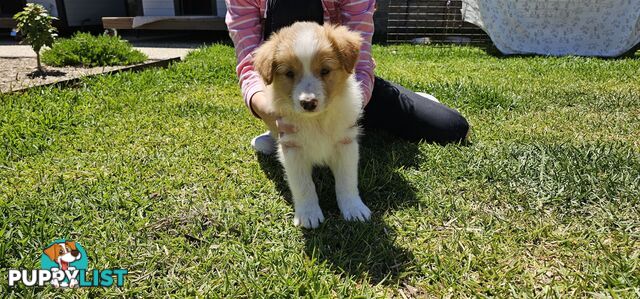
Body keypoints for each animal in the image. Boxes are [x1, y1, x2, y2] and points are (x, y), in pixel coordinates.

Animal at [251, 22, 370, 229]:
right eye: (289, 73)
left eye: (325, 70)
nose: (308, 103)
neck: (316, 120)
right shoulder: (292, 147)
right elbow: (303, 186)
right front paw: (309, 214)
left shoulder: (345, 143)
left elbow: (347, 181)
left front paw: (354, 209)